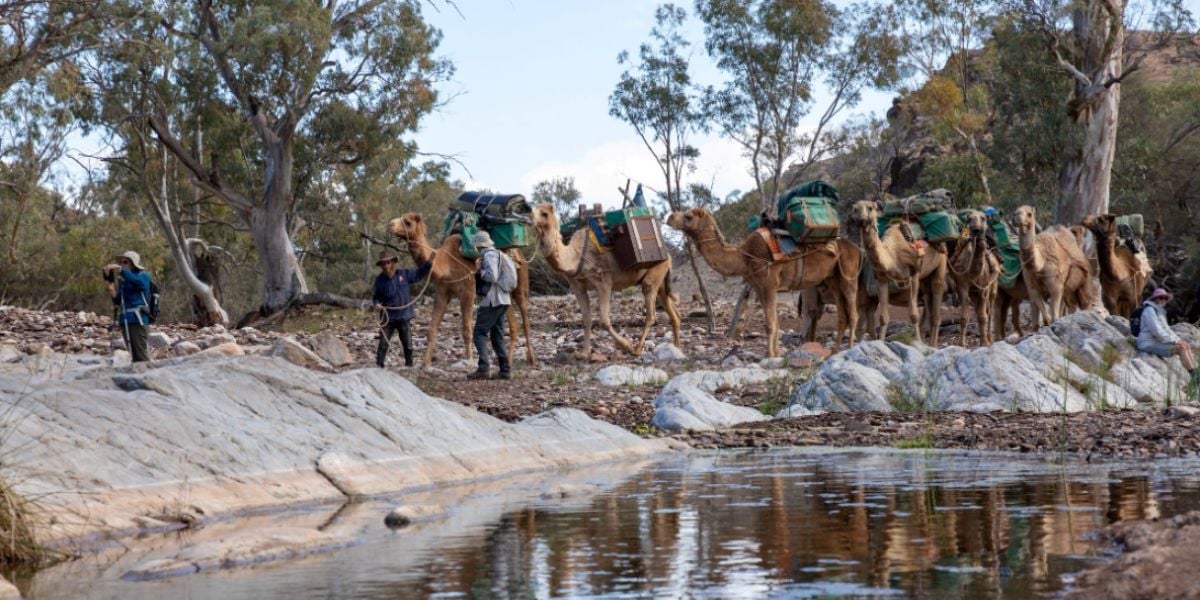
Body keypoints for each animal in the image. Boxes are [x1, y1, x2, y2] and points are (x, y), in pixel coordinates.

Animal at [387, 213, 536, 367]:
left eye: (407, 222)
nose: (390, 225)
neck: (445, 264)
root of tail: (519, 254)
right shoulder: (442, 292)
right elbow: (432, 329)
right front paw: (425, 363)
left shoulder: (467, 292)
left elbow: (467, 330)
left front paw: (469, 360)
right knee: (513, 324)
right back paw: (509, 360)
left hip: (521, 285)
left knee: (525, 320)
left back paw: (531, 359)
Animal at [529, 204, 680, 357]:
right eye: (531, 210)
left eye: (544, 213)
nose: (530, 220)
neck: (575, 256)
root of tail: (668, 254)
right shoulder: (577, 286)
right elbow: (586, 319)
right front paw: (584, 353)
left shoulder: (604, 282)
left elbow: (603, 321)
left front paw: (626, 345)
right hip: (661, 280)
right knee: (673, 312)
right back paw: (676, 347)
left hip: (656, 271)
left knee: (651, 313)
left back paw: (637, 349)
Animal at [666, 207, 860, 357]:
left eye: (689, 216)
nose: (670, 218)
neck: (744, 256)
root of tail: (856, 248)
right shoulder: (759, 287)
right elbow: (774, 321)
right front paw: (777, 353)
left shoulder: (769, 283)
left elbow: (769, 323)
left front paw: (769, 355)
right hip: (833, 279)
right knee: (842, 314)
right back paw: (835, 350)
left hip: (849, 275)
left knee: (853, 312)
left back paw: (850, 348)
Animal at [848, 201, 948, 345]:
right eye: (855, 209)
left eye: (870, 208)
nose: (862, 219)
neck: (893, 256)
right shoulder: (881, 279)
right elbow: (883, 317)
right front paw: (881, 343)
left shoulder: (914, 275)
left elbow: (914, 315)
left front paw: (918, 343)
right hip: (924, 279)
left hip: (941, 262)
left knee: (937, 295)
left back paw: (932, 345)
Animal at [948, 210, 1001, 346]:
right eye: (969, 219)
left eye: (983, 218)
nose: (976, 229)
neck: (973, 273)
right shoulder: (962, 285)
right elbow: (964, 318)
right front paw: (962, 344)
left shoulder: (983, 287)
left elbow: (983, 316)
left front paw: (985, 343)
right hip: (974, 293)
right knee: (979, 311)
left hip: (993, 287)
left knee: (989, 311)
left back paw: (990, 338)